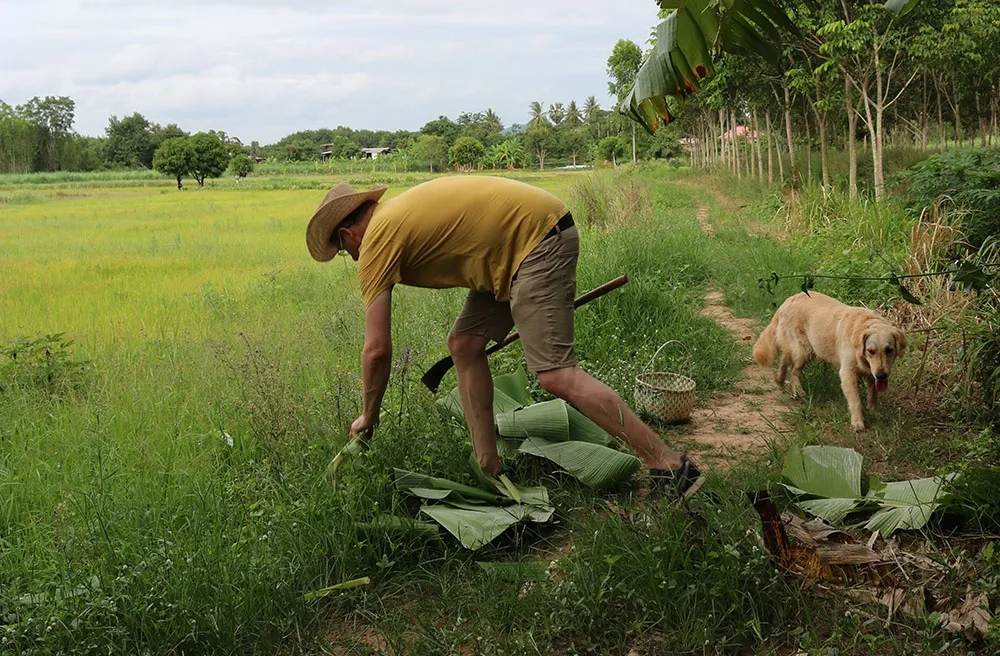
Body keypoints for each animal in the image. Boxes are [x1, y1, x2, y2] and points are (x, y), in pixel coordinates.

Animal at [752, 292, 908, 430]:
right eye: (871, 351)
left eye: (889, 350)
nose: (882, 375)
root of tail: (789, 300)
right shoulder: (847, 373)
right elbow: (855, 401)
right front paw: (858, 423)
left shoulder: (871, 373)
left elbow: (873, 394)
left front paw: (874, 412)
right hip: (804, 350)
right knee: (793, 370)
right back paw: (798, 392)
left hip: (805, 349)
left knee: (785, 358)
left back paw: (779, 380)